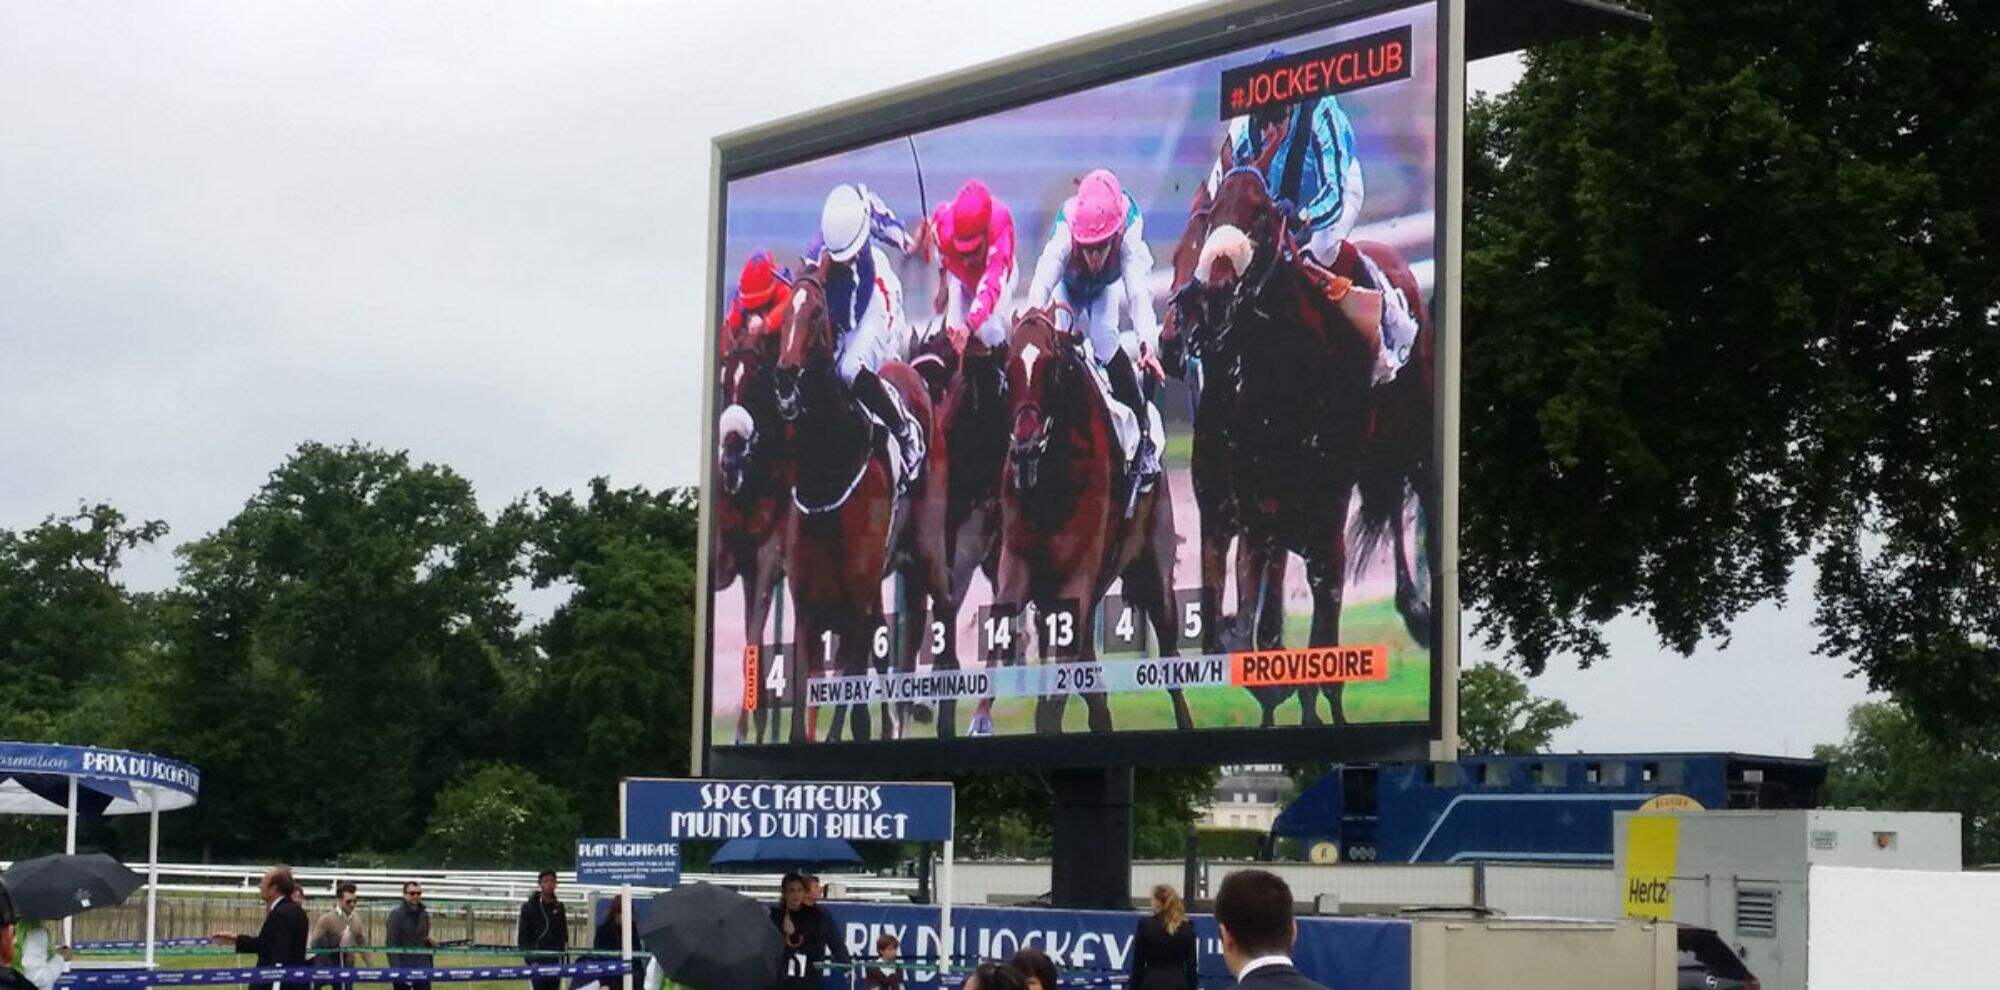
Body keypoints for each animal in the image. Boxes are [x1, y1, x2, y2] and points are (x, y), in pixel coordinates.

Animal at [772, 268, 952, 740]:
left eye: (816, 315)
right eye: (783, 316)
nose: (785, 376)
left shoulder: (853, 605)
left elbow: (844, 709)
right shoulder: (809, 611)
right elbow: (805, 715)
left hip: (928, 549)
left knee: (944, 609)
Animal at [996, 306, 1192, 732]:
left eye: (1051, 367)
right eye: (1009, 367)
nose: (1025, 446)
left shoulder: (1077, 579)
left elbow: (1052, 704)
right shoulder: (1019, 568)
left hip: (1153, 572)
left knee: (1170, 658)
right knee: (1095, 693)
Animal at [1168, 169, 1440, 728]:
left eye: (1263, 217)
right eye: (1203, 223)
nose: (1208, 299)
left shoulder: (1321, 507)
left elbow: (1323, 617)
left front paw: (1316, 706)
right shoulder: (1236, 512)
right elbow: (1237, 630)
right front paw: (1272, 689)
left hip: (1413, 446)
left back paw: (1421, 612)